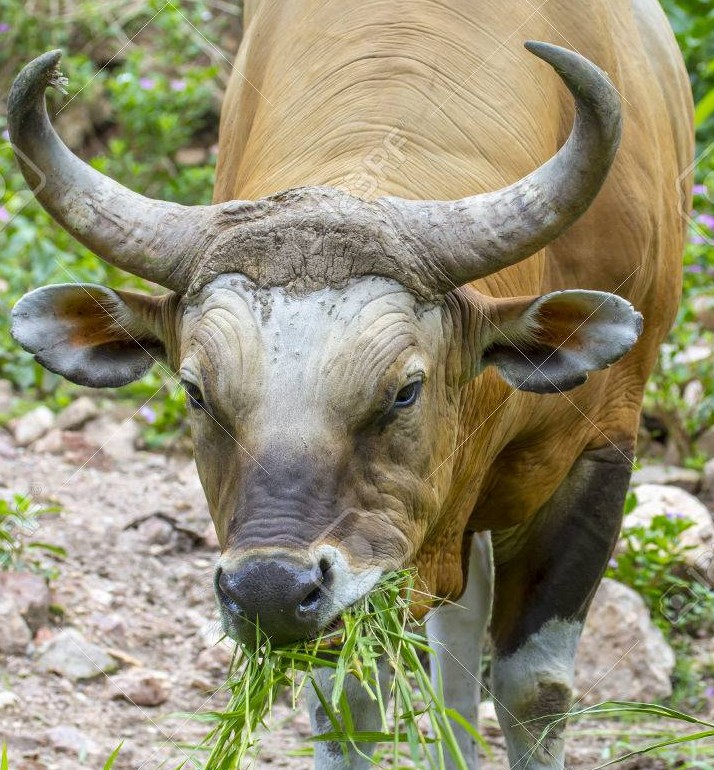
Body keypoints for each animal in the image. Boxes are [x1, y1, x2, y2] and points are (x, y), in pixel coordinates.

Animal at [8, 1, 692, 768]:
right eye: (195, 392)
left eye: (404, 390)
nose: (269, 591)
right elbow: (349, 704)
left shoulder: (600, 452)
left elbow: (533, 692)